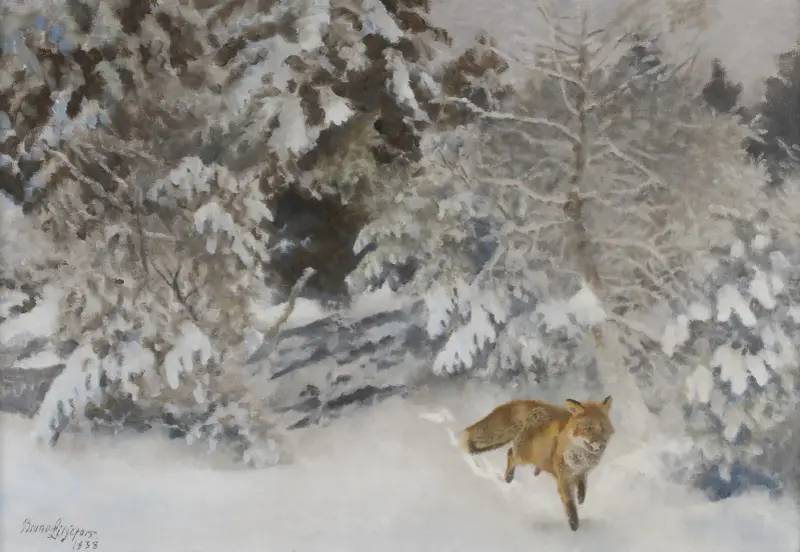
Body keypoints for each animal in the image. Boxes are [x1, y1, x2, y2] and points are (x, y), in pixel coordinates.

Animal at [458, 396, 614, 531]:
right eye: (588, 428)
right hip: (524, 456)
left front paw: (581, 497)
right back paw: (509, 476)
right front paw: (574, 525)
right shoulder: (563, 478)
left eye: (603, 428)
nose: (601, 445)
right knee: (510, 453)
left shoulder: (583, 472)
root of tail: (533, 403)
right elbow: (570, 505)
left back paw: (536, 470)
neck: (580, 458)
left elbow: (583, 487)